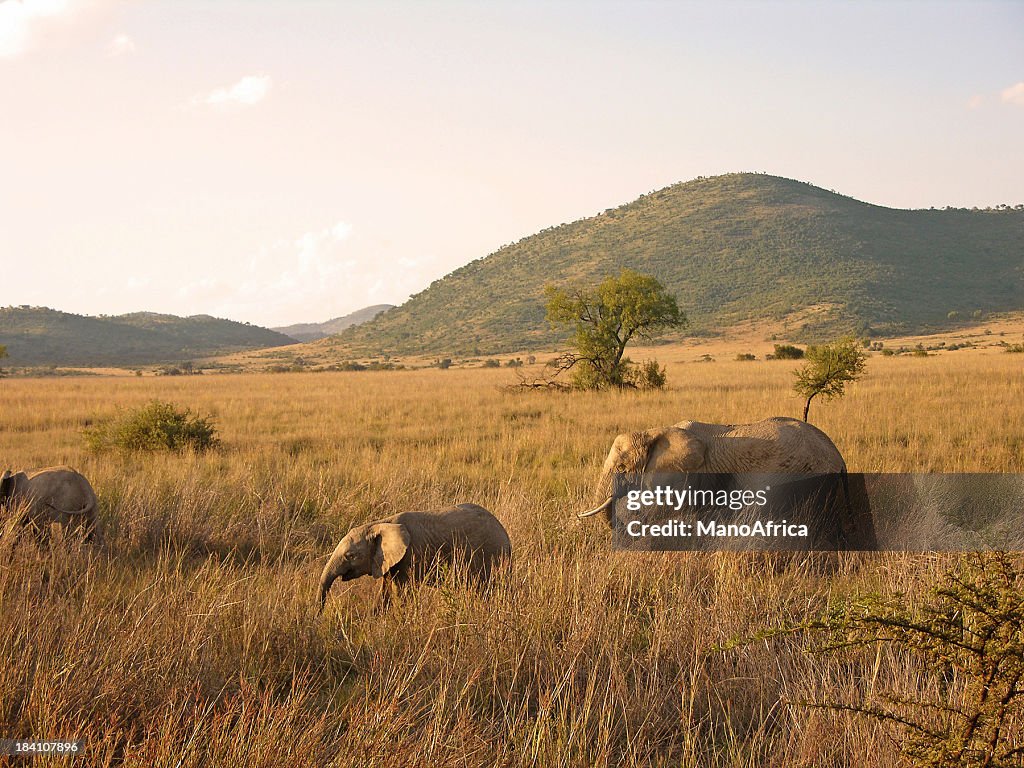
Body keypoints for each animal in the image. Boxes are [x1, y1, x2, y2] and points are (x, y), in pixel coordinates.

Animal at [317, 501, 509, 618]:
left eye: (350, 556)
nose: (318, 617)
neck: (382, 523)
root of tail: (505, 533)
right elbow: (385, 592)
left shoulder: (410, 556)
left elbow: (402, 593)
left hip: (494, 556)